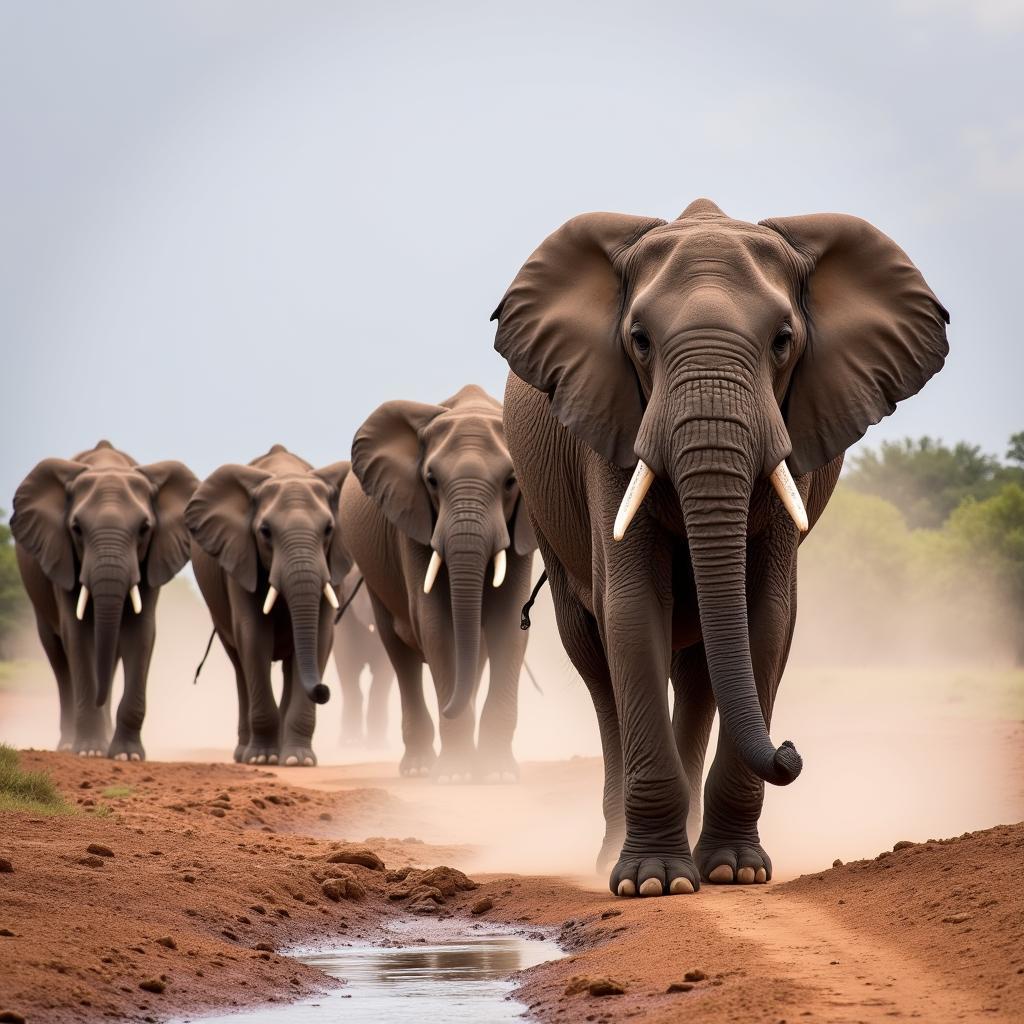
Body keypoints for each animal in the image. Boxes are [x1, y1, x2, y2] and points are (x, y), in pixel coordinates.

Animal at [12, 440, 197, 761]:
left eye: (144, 528)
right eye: (76, 528)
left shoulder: (150, 561)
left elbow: (141, 633)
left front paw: (126, 755)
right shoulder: (62, 556)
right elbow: (78, 634)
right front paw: (89, 751)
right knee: (59, 657)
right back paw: (68, 744)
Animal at [188, 444, 352, 765]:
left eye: (328, 529)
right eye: (265, 531)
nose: (323, 690)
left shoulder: (333, 565)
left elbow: (320, 636)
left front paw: (298, 761)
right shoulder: (239, 558)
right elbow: (254, 636)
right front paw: (262, 759)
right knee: (240, 665)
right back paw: (244, 753)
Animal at [342, 385, 540, 782]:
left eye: (511, 481)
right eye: (431, 480)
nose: (448, 706)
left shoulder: (521, 527)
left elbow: (508, 626)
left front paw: (498, 775)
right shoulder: (412, 518)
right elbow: (436, 626)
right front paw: (456, 777)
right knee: (398, 655)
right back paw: (419, 768)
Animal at [491, 199, 946, 897]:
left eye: (783, 340)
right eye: (640, 340)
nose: (790, 750)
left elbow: (767, 619)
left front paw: (735, 872)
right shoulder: (609, 428)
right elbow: (632, 611)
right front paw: (652, 883)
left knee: (701, 660)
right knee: (594, 655)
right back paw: (612, 853)